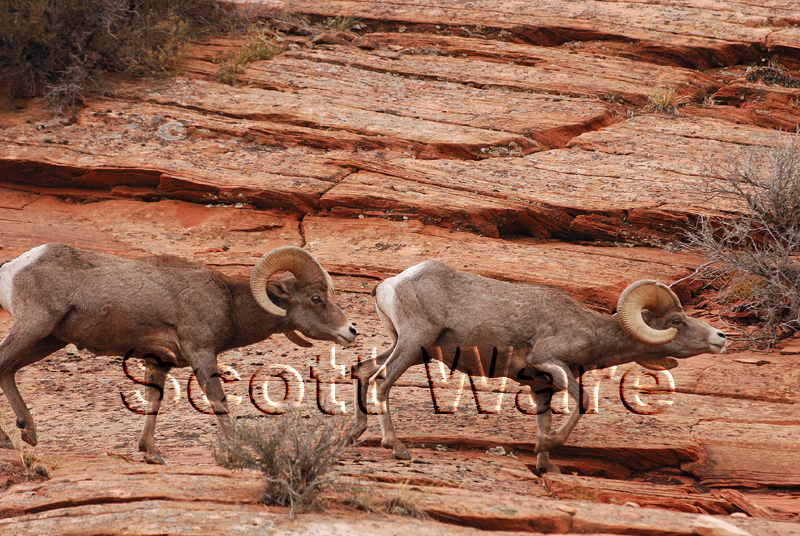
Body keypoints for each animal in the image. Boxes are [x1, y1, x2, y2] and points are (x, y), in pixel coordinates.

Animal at [0, 243, 357, 463]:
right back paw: (10, 438)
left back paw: (27, 432)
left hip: (49, 340)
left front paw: (151, 453)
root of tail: (15, 267)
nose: (351, 331)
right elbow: (218, 401)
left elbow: (153, 403)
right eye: (315, 299)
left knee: (8, 370)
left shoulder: (159, 361)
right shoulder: (202, 353)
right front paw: (238, 451)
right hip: (35, 327)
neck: (229, 303)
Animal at [350, 260, 726, 474]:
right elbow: (582, 404)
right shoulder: (551, 364)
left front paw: (546, 464)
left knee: (365, 370)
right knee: (381, 381)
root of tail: (389, 285)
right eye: (677, 321)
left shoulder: (539, 386)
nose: (720, 338)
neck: (590, 330)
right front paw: (547, 446)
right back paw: (397, 448)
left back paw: (354, 434)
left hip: (413, 349)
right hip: (414, 343)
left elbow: (544, 420)